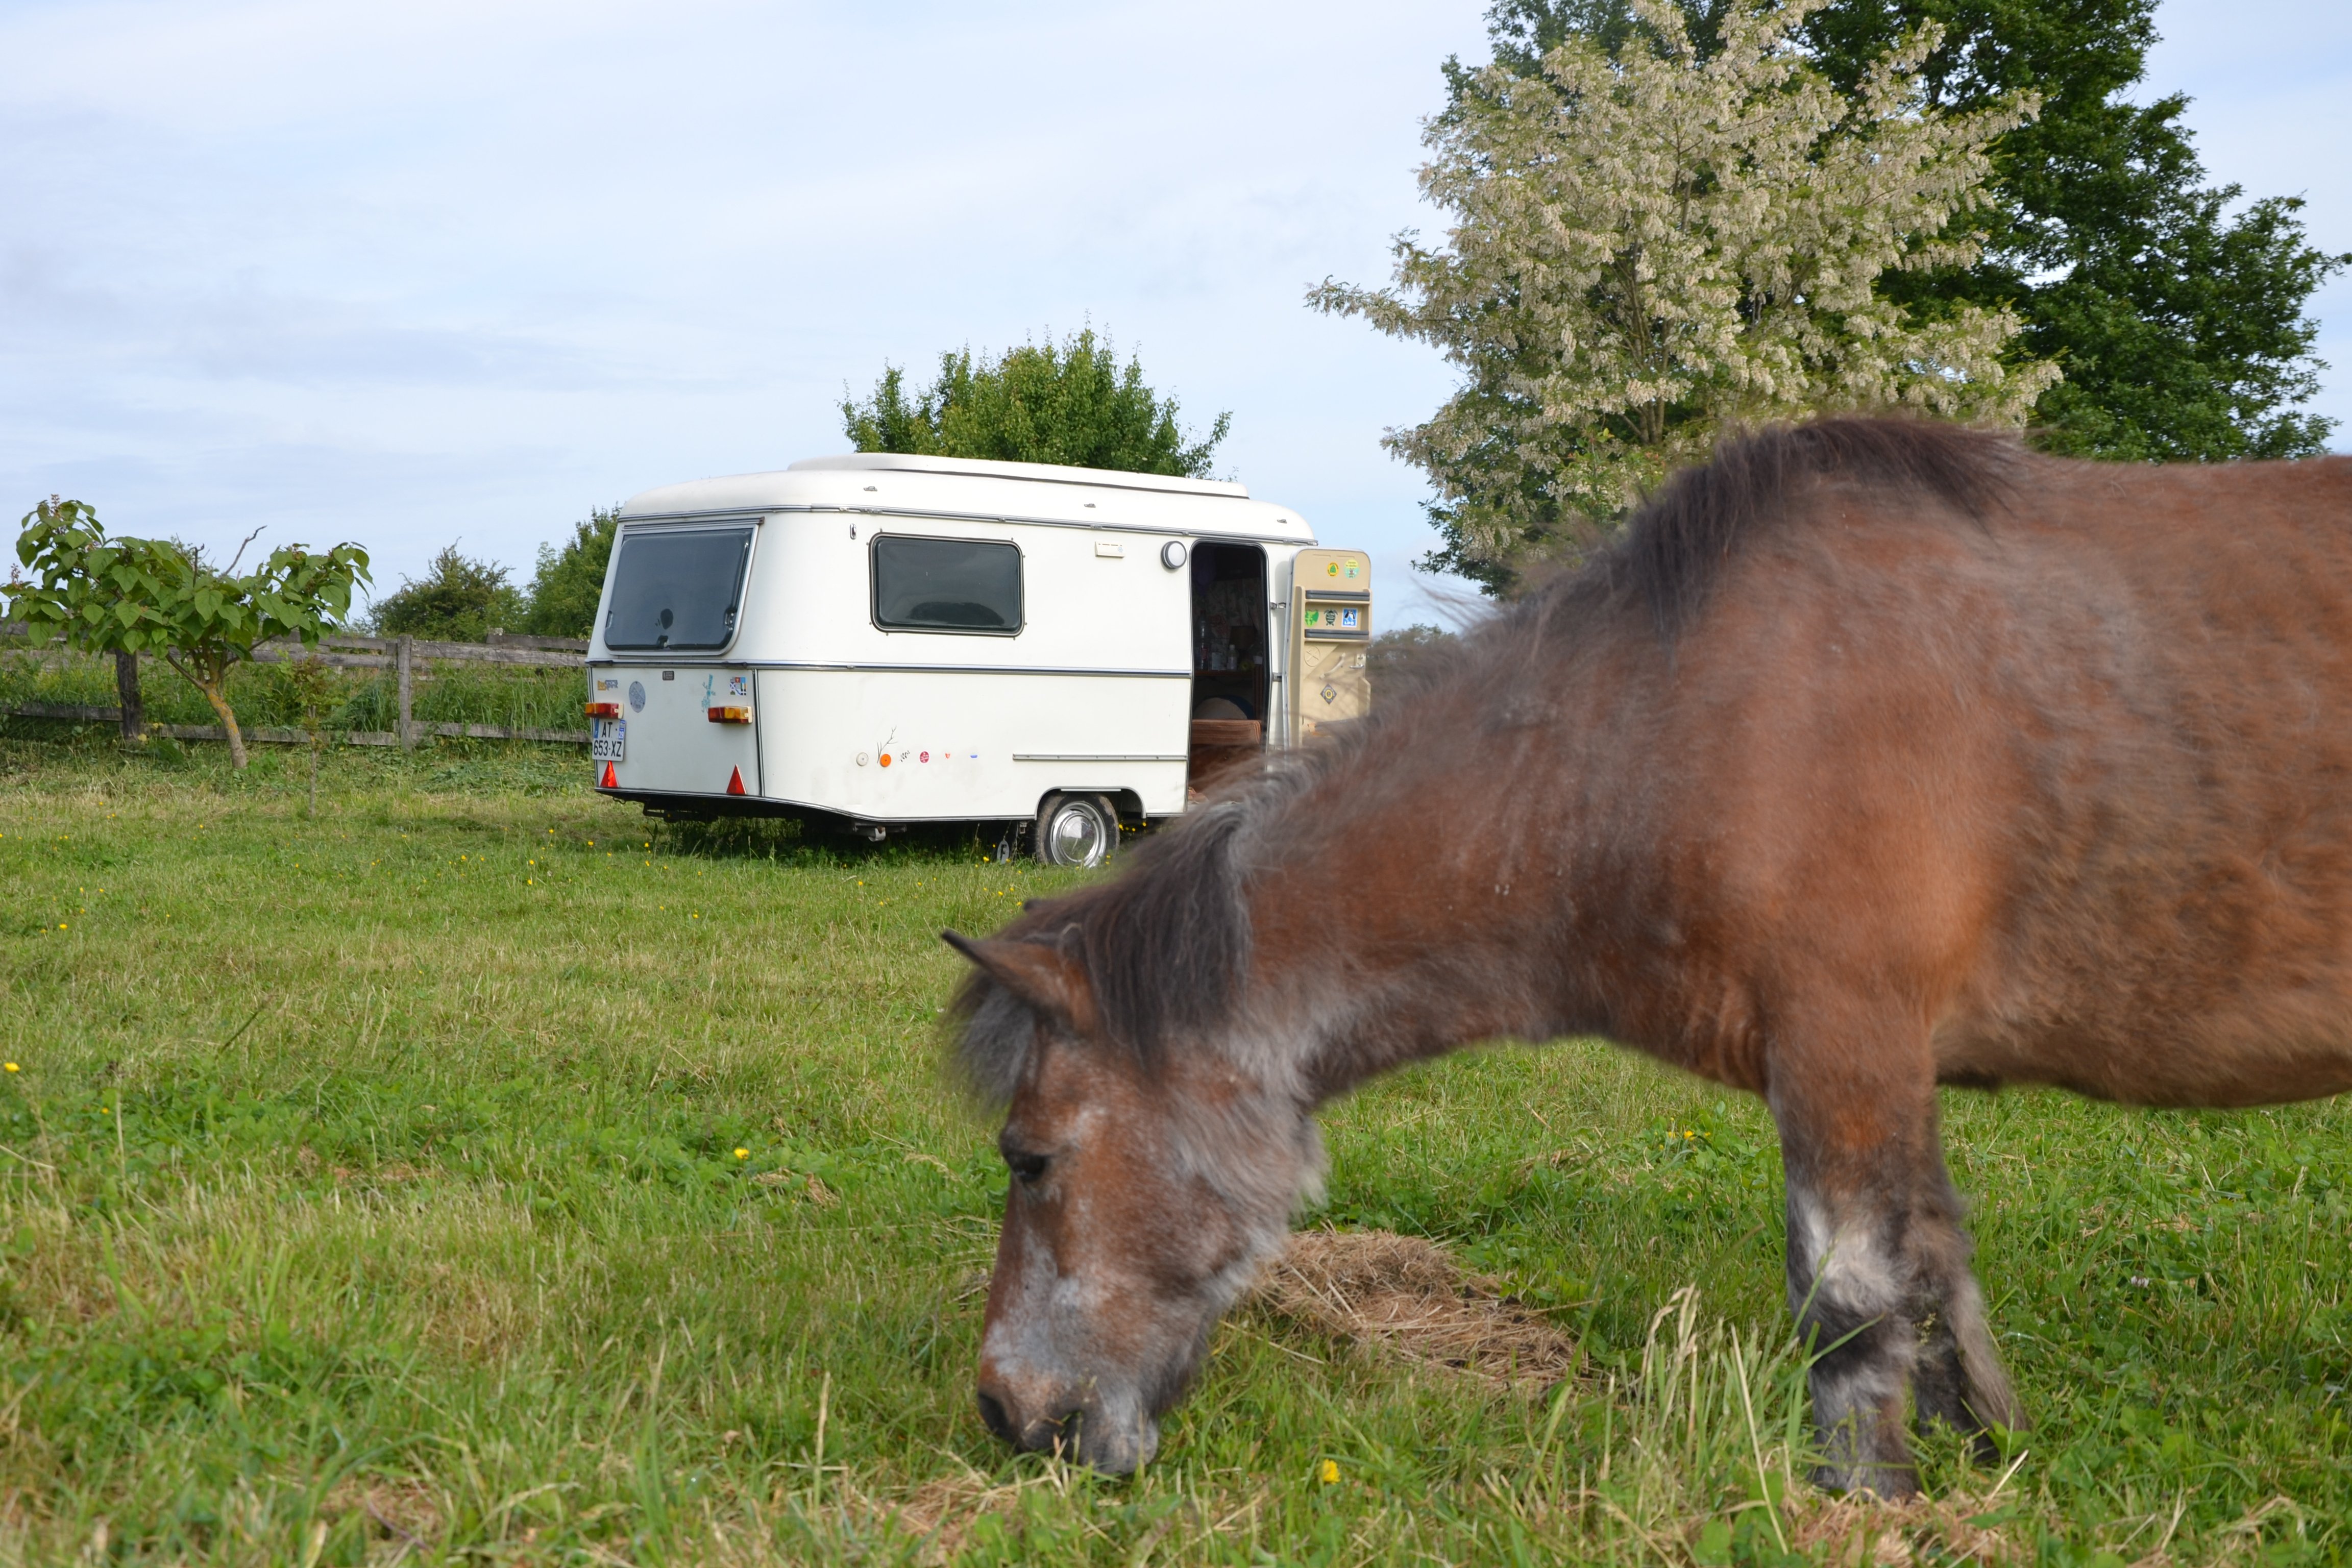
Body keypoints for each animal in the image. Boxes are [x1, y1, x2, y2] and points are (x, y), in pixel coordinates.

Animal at [945, 423, 2352, 1504]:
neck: (1677, 730)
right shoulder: (1884, 1069)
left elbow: (1852, 1296)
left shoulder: (1844, 1049)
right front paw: (1980, 1455)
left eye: (1031, 1156)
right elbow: (1937, 1274)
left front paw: (1869, 1499)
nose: (1006, 1412)